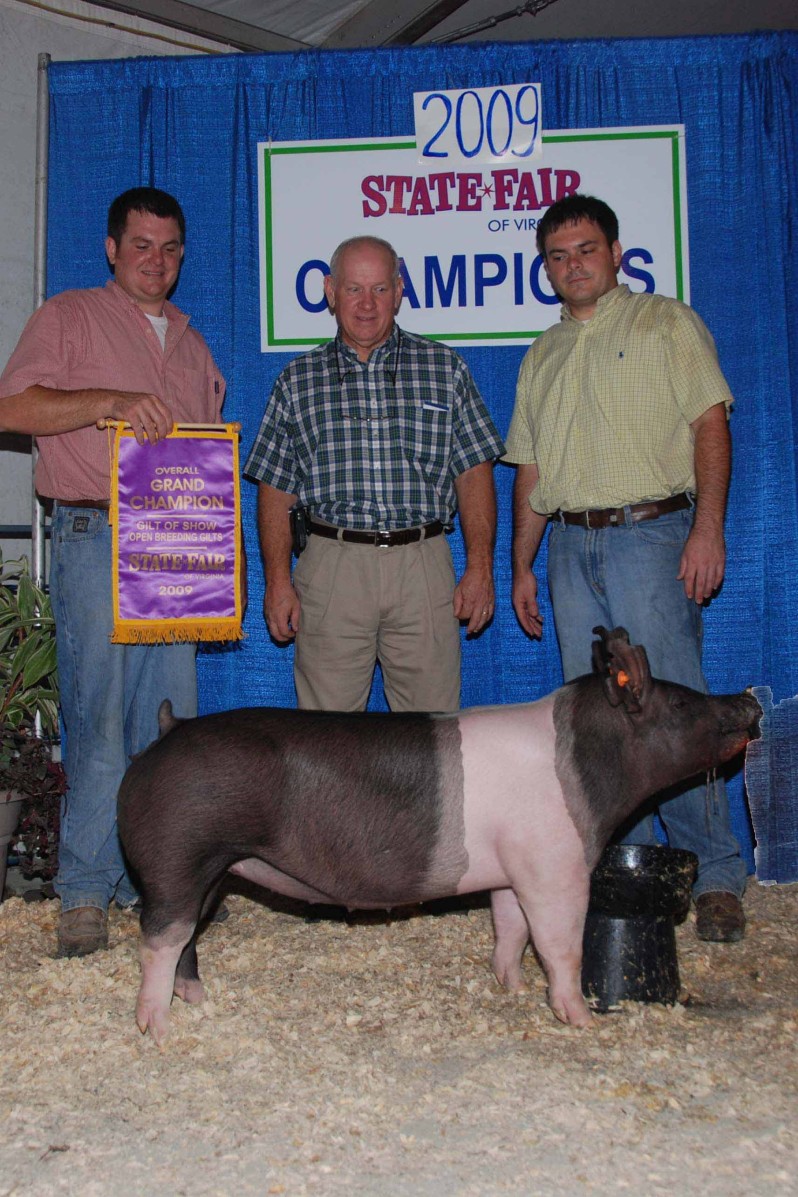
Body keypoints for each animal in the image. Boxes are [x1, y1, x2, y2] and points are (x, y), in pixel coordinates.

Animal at [113, 632, 760, 1043]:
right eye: (681, 702)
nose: (748, 700)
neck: (585, 766)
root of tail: (166, 731)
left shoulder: (512, 869)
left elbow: (509, 928)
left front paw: (509, 987)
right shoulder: (553, 864)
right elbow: (559, 944)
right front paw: (580, 1019)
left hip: (215, 872)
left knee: (186, 938)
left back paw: (197, 1000)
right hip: (178, 860)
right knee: (159, 940)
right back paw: (158, 1030)